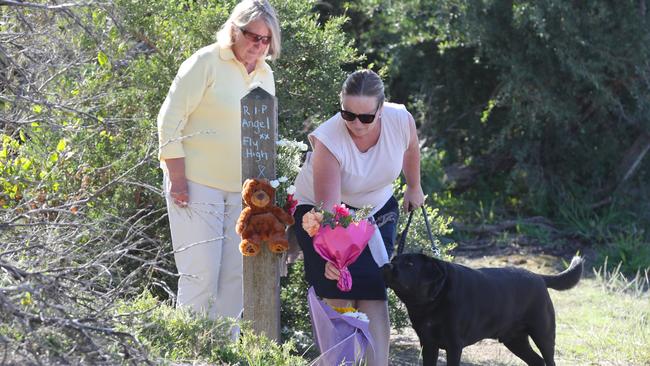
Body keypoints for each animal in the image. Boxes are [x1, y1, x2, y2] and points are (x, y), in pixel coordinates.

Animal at [380, 253, 584, 364]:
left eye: (410, 264)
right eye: (394, 259)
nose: (387, 266)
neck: (432, 300)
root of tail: (539, 277)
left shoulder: (454, 345)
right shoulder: (428, 344)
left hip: (543, 334)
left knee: (549, 360)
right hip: (515, 340)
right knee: (537, 361)